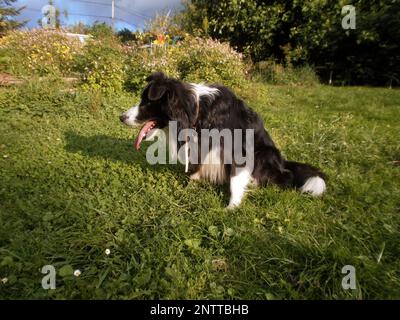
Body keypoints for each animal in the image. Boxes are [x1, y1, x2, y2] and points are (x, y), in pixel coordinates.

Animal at [119, 72, 324, 208]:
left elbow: (235, 180)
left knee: (283, 177)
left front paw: (231, 207)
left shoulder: (238, 149)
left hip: (264, 153)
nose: (121, 117)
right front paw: (193, 180)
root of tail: (283, 163)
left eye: (147, 102)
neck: (197, 112)